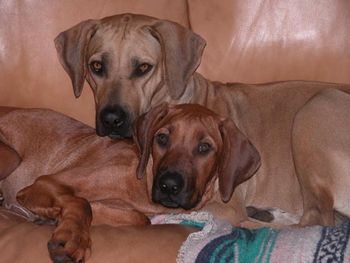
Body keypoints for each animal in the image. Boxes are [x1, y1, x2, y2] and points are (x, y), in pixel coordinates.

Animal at [0, 104, 260, 262]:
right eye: (162, 138)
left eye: (204, 147)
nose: (168, 185)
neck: (144, 185)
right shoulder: (46, 181)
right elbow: (82, 202)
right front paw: (73, 236)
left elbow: (139, 218)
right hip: (10, 156)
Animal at [56, 13, 350, 229]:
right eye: (96, 66)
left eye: (143, 68)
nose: (112, 118)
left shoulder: (224, 204)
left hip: (315, 108)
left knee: (317, 218)